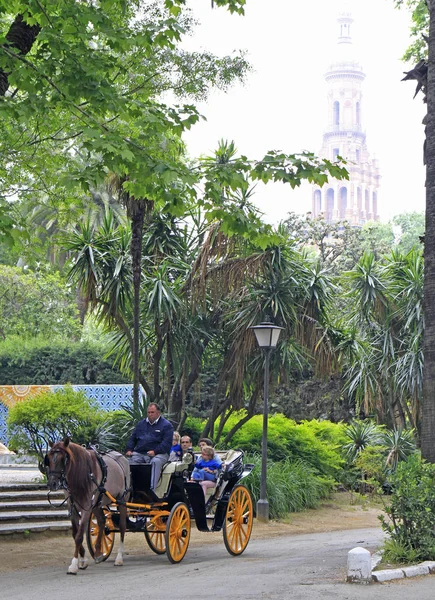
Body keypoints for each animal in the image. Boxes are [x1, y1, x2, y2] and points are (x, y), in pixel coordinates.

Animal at [46, 438, 131, 576]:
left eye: (64, 459)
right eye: (48, 457)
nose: (52, 483)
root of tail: (122, 457)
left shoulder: (86, 508)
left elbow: (79, 536)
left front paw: (74, 565)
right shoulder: (72, 508)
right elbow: (75, 534)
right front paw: (83, 560)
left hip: (122, 500)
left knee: (123, 526)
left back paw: (119, 558)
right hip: (97, 503)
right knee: (102, 521)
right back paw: (98, 552)